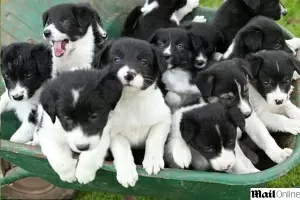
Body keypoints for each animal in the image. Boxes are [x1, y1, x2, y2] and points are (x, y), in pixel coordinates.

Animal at [96, 37, 171, 188]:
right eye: (116, 59)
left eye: (143, 62)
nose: (129, 75)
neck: (132, 100)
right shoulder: (113, 132)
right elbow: (122, 148)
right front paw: (127, 172)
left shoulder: (163, 120)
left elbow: (154, 138)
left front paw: (153, 160)